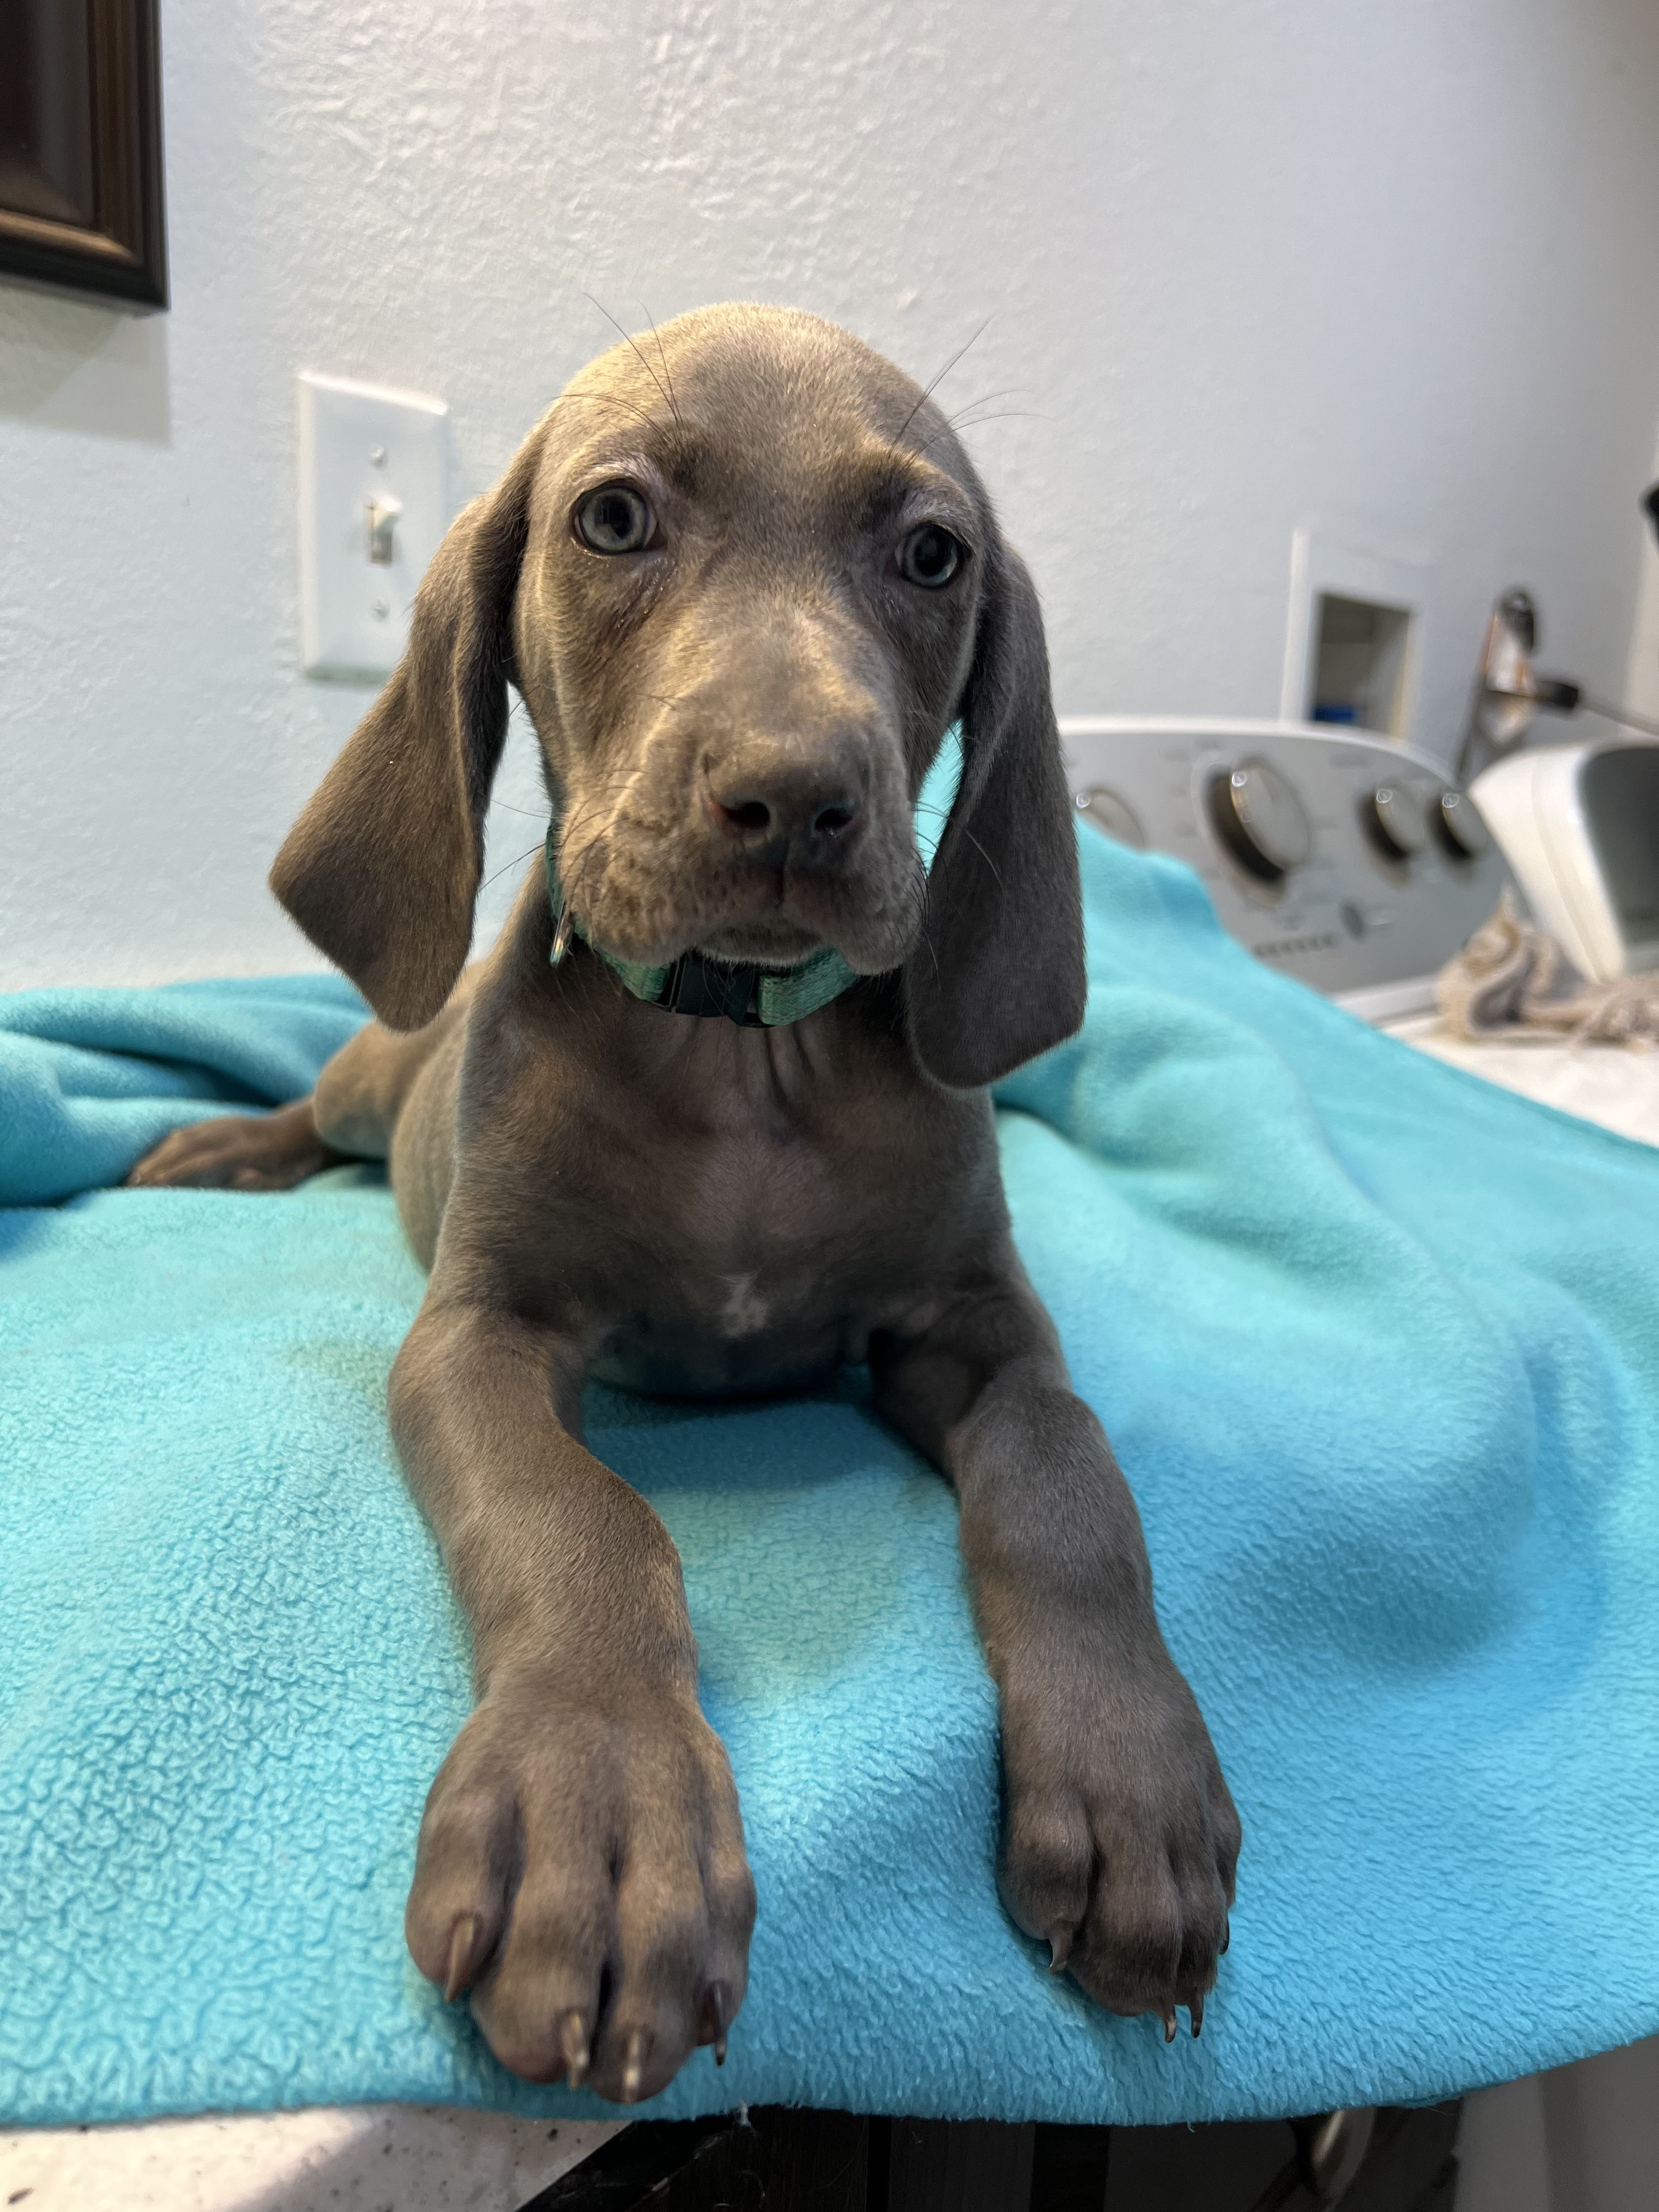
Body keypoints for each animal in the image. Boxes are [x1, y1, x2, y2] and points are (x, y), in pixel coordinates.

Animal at [130, 304, 1240, 2106]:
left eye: (932, 553)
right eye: (614, 518)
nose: (794, 796)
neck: (740, 1055)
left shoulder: (981, 1326)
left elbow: (1070, 1476)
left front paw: (1131, 1775)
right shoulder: (478, 1333)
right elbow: (581, 1520)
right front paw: (597, 1804)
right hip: (381, 1072)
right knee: (318, 1096)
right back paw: (223, 1146)